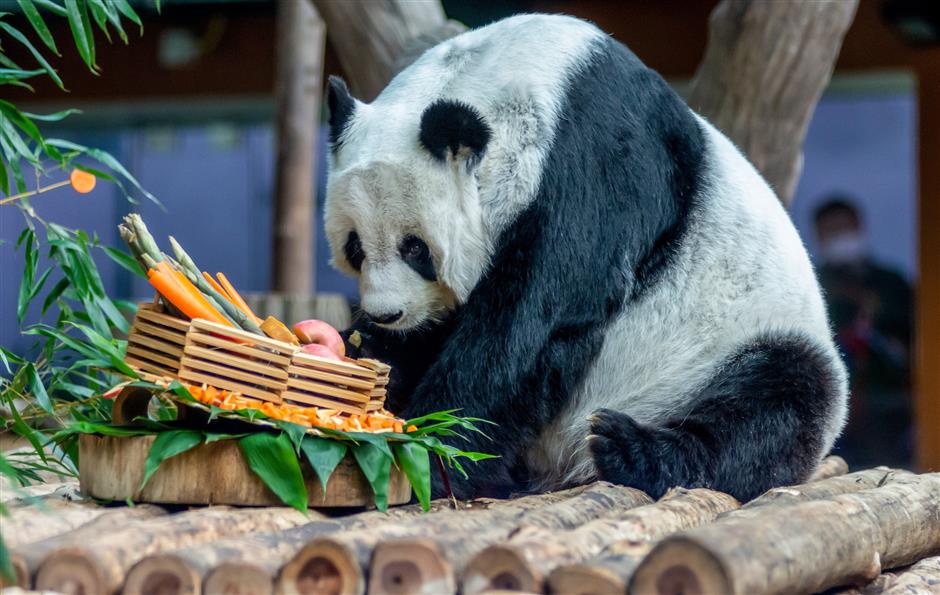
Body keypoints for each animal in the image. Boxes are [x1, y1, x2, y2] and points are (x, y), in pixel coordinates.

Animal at [323, 13, 848, 502]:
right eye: (355, 247)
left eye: (416, 248)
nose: (386, 314)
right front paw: (369, 354)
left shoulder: (596, 164)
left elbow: (533, 327)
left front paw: (435, 452)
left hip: (730, 346)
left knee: (777, 400)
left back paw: (630, 449)